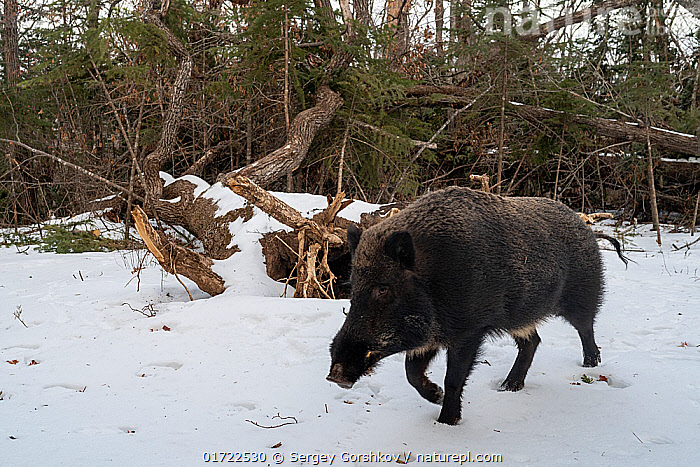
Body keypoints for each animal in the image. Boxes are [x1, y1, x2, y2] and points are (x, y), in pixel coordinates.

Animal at [327, 186, 627, 425]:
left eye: (383, 288)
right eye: (353, 286)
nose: (334, 376)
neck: (433, 276)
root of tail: (586, 228)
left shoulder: (470, 330)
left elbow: (453, 378)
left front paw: (447, 422)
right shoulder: (430, 336)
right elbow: (411, 373)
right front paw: (436, 397)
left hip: (582, 294)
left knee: (585, 327)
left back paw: (590, 365)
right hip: (519, 316)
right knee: (532, 341)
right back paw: (508, 387)